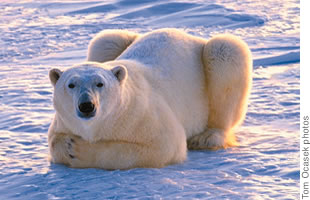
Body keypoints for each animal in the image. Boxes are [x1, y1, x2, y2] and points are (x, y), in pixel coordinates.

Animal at [48, 28, 252, 169]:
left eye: (100, 83)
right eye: (71, 85)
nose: (86, 105)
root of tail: (193, 37)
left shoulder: (141, 115)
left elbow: (163, 146)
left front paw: (77, 149)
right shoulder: (64, 122)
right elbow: (54, 142)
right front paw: (67, 145)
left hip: (212, 62)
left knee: (224, 51)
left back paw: (207, 137)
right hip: (116, 42)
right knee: (105, 40)